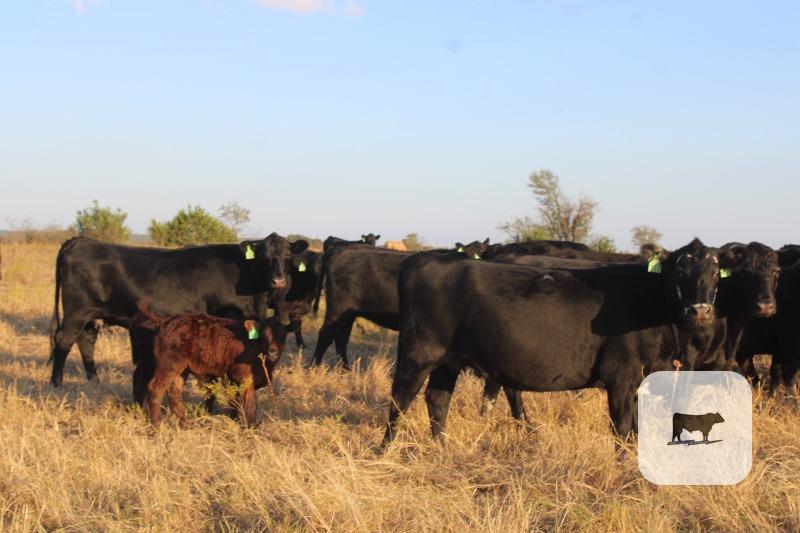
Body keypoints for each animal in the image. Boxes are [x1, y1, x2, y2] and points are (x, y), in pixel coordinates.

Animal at [48, 233, 308, 387]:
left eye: (288, 255)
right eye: (264, 256)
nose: (278, 280)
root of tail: (81, 240)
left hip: (91, 315)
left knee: (86, 341)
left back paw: (94, 380)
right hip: (76, 312)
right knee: (63, 340)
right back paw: (56, 383)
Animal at [136, 301, 287, 427]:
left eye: (283, 335)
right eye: (264, 335)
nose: (273, 352)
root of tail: (165, 321)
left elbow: (235, 402)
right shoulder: (243, 378)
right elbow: (250, 404)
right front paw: (251, 428)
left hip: (181, 369)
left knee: (174, 393)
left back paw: (186, 425)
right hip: (169, 365)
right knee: (156, 388)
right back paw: (157, 426)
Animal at [382, 239, 749, 445]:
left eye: (715, 272)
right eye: (678, 271)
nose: (700, 309)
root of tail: (423, 258)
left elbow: (636, 427)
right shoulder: (621, 376)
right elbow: (622, 426)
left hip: (449, 360)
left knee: (437, 400)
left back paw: (441, 449)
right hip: (418, 352)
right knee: (401, 399)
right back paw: (385, 450)